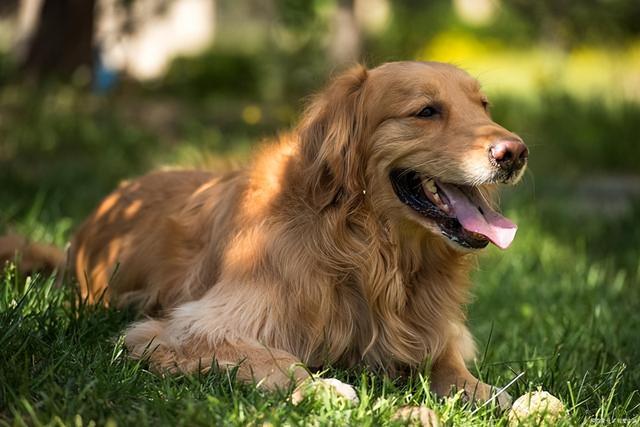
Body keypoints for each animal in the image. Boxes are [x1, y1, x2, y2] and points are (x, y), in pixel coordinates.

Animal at [5, 61, 528, 410]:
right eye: (425, 111)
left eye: (483, 106)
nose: (515, 152)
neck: (366, 251)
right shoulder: (180, 330)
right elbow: (276, 360)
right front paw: (321, 388)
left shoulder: (432, 334)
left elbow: (464, 375)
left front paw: (510, 398)